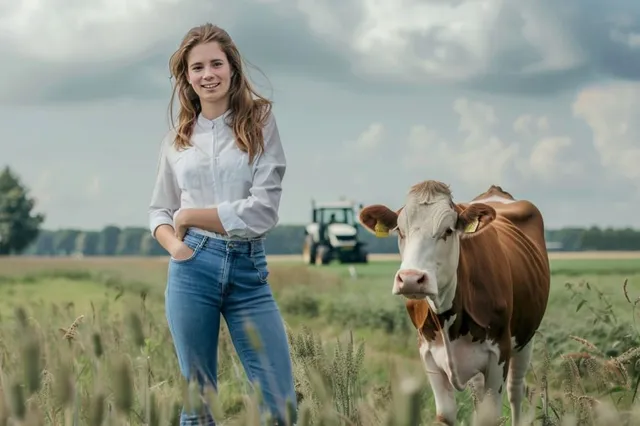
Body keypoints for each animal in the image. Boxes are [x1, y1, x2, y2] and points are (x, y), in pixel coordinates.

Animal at [360, 181, 552, 426]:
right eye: (400, 231)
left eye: (448, 231)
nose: (411, 279)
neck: (448, 318)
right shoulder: (428, 353)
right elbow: (447, 415)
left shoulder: (499, 352)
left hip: (525, 337)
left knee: (515, 391)